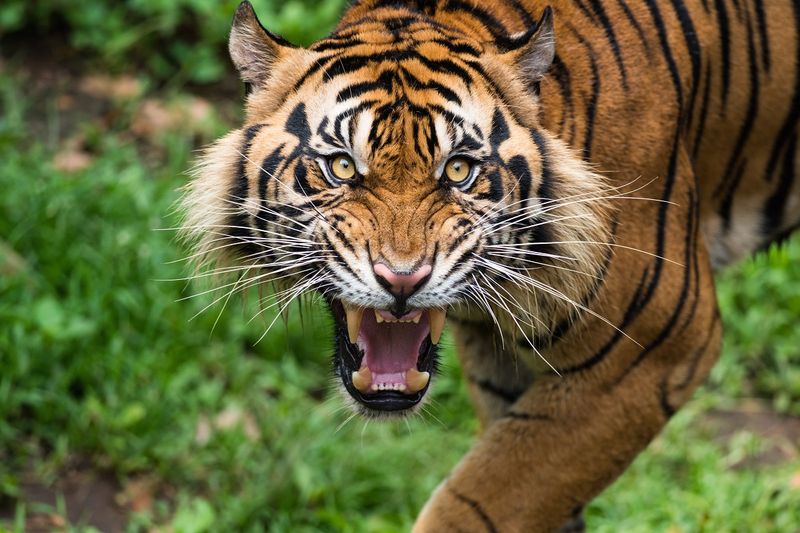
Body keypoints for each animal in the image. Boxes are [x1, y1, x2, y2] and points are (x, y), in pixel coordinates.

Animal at [181, 1, 800, 528]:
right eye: (341, 167)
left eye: (459, 171)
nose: (402, 279)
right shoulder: (504, 364)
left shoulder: (654, 350)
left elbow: (485, 499)